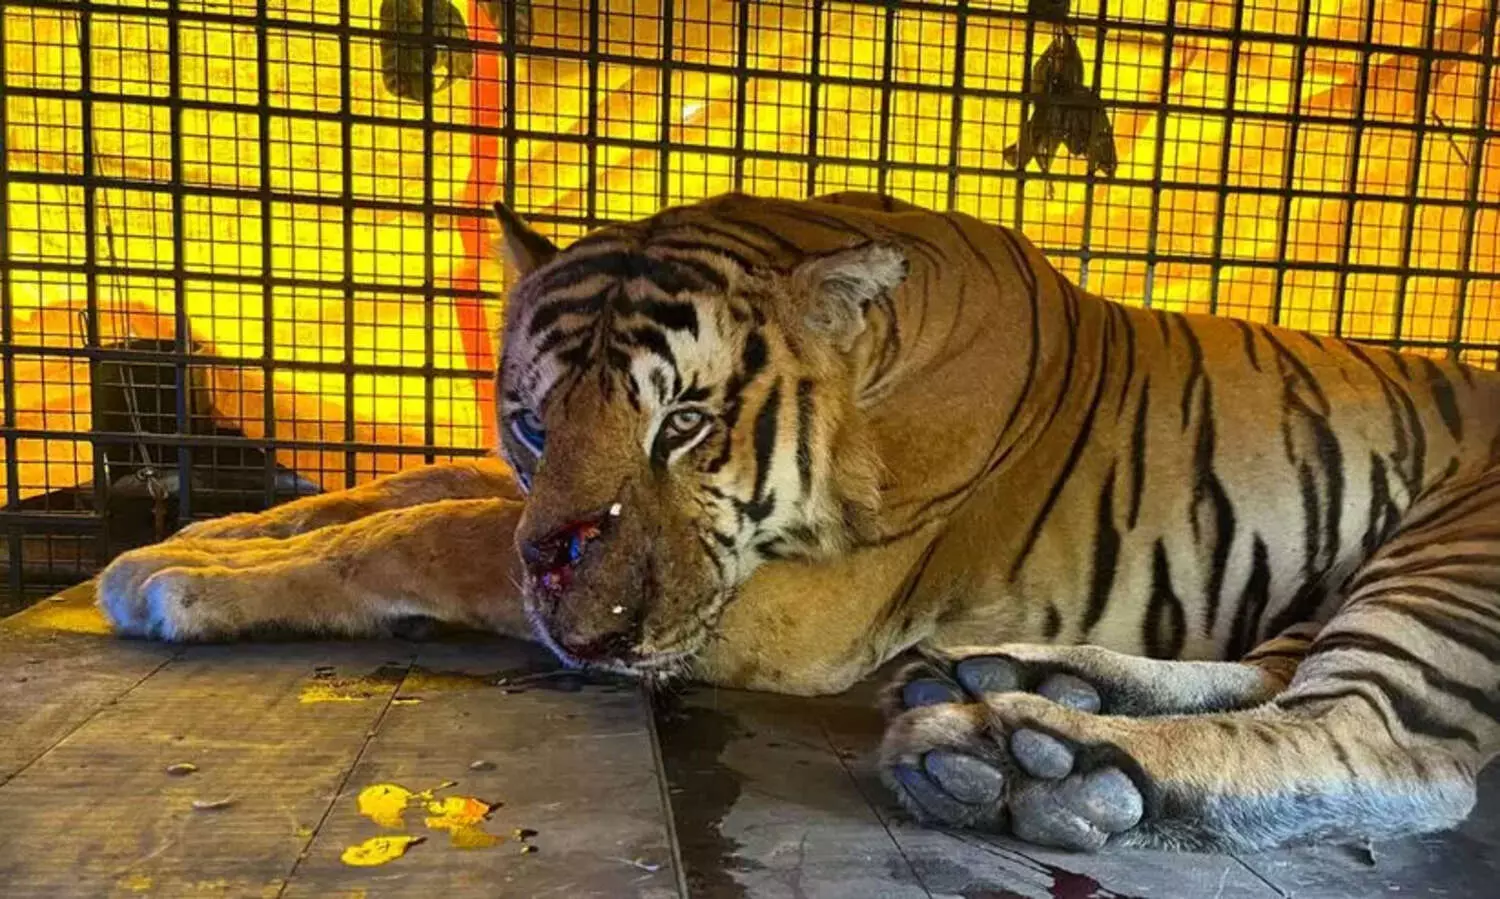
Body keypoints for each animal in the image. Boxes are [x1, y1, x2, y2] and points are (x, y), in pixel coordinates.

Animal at [97, 191, 1500, 854]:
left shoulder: (769, 608)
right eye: (536, 423)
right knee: (1268, 675)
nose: (565, 597)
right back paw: (1017, 684)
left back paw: (1036, 758)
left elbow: (430, 532)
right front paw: (187, 540)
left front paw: (172, 583)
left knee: (1390, 745)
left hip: (1444, 560)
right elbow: (413, 489)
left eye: (683, 425)